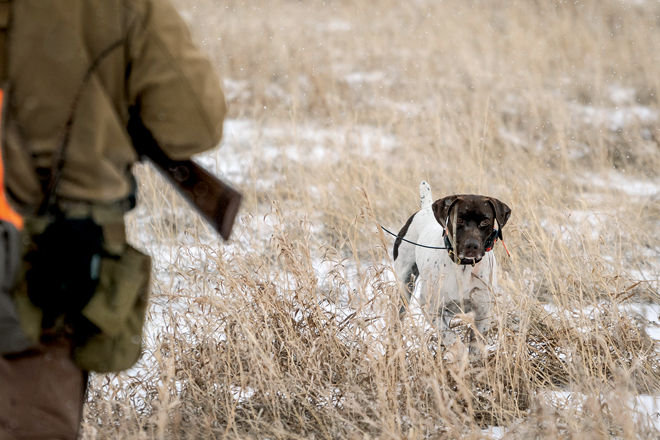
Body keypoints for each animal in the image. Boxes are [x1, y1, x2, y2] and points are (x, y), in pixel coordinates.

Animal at [392, 181, 510, 348]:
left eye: (485, 221)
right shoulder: (431, 309)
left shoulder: (483, 313)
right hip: (405, 286)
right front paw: (460, 353)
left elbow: (475, 346)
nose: (472, 246)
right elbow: (451, 338)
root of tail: (425, 208)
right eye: (459, 220)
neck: (464, 267)